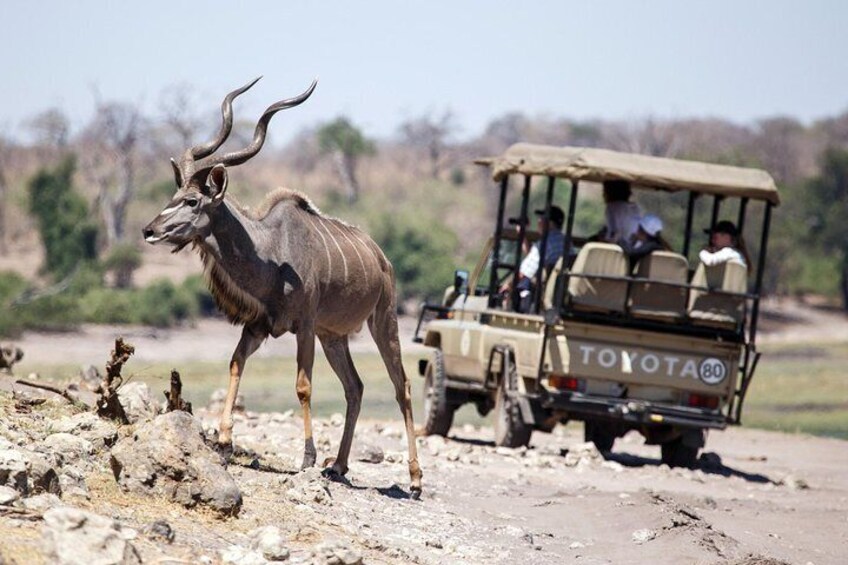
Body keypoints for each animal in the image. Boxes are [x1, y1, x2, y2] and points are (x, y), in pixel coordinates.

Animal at [146, 77, 428, 496]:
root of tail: (382, 259)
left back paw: (414, 479)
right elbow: (235, 364)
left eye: (193, 200)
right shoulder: (258, 326)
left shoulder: (304, 326)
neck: (272, 253)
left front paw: (308, 458)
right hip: (334, 337)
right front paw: (224, 442)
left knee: (402, 385)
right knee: (355, 387)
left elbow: (303, 386)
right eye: (173, 196)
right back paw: (339, 466)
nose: (149, 230)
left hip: (382, 321)